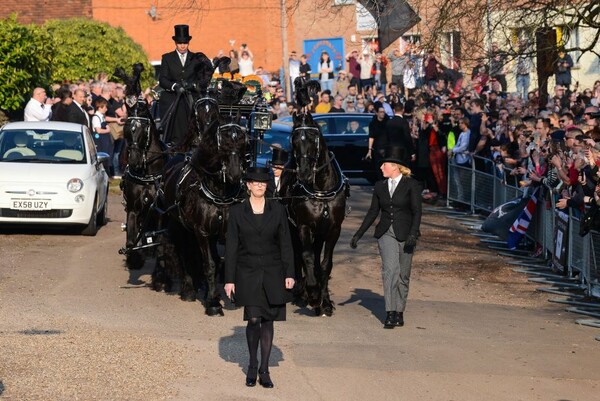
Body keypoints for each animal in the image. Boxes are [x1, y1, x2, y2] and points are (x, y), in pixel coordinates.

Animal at [115, 65, 168, 268]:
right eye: (126, 130)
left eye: (143, 129)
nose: (134, 161)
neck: (147, 177)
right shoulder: (133, 209)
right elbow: (131, 238)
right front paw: (134, 258)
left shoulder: (159, 211)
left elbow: (160, 240)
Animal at [155, 92, 251, 314]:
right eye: (224, 141)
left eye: (242, 140)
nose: (235, 173)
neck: (219, 192)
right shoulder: (202, 231)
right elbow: (209, 264)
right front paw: (213, 303)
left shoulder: (225, 232)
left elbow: (224, 262)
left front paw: (223, 295)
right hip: (175, 222)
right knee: (182, 252)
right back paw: (188, 289)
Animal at [280, 111, 350, 314]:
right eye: (294, 141)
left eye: (313, 138)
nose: (303, 174)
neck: (321, 190)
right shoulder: (304, 226)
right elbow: (307, 257)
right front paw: (311, 292)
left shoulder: (334, 229)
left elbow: (326, 263)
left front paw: (324, 301)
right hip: (293, 228)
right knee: (298, 255)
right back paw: (301, 291)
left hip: (320, 233)